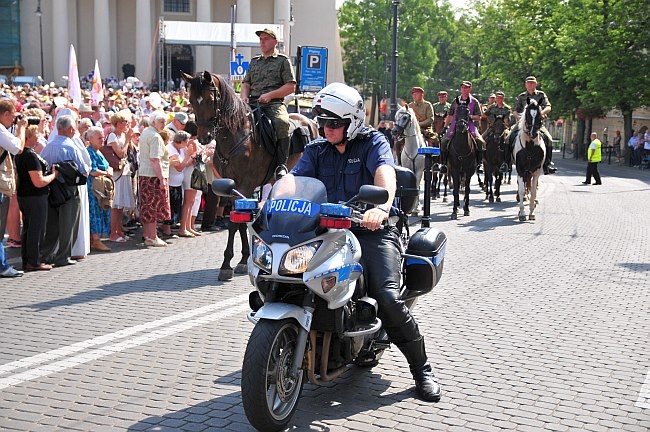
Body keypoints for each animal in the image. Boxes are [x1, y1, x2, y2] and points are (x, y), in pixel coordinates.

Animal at [181, 71, 318, 280]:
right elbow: (241, 222)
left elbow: (233, 223)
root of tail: (309, 120)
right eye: (190, 100)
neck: (235, 138)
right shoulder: (230, 187)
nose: (204, 138)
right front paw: (243, 259)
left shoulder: (245, 184)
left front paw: (227, 265)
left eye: (210, 99)